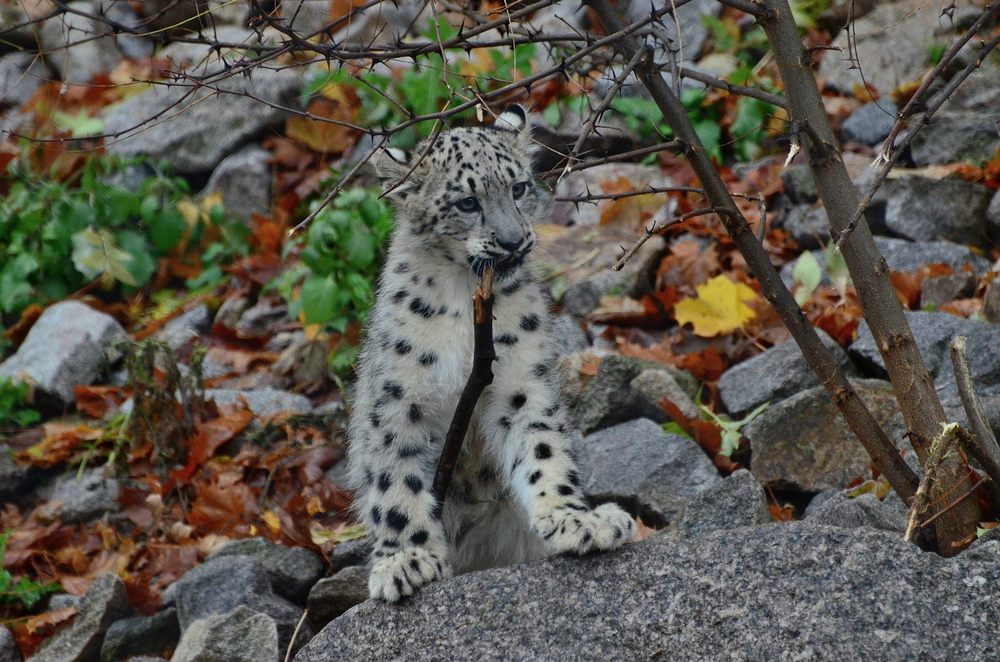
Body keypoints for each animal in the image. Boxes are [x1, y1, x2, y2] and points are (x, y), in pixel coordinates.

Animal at [348, 102, 636, 600]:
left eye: (518, 188)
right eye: (467, 202)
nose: (514, 240)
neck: (466, 299)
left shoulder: (519, 383)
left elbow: (543, 449)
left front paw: (576, 521)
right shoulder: (400, 398)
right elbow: (395, 475)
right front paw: (407, 559)